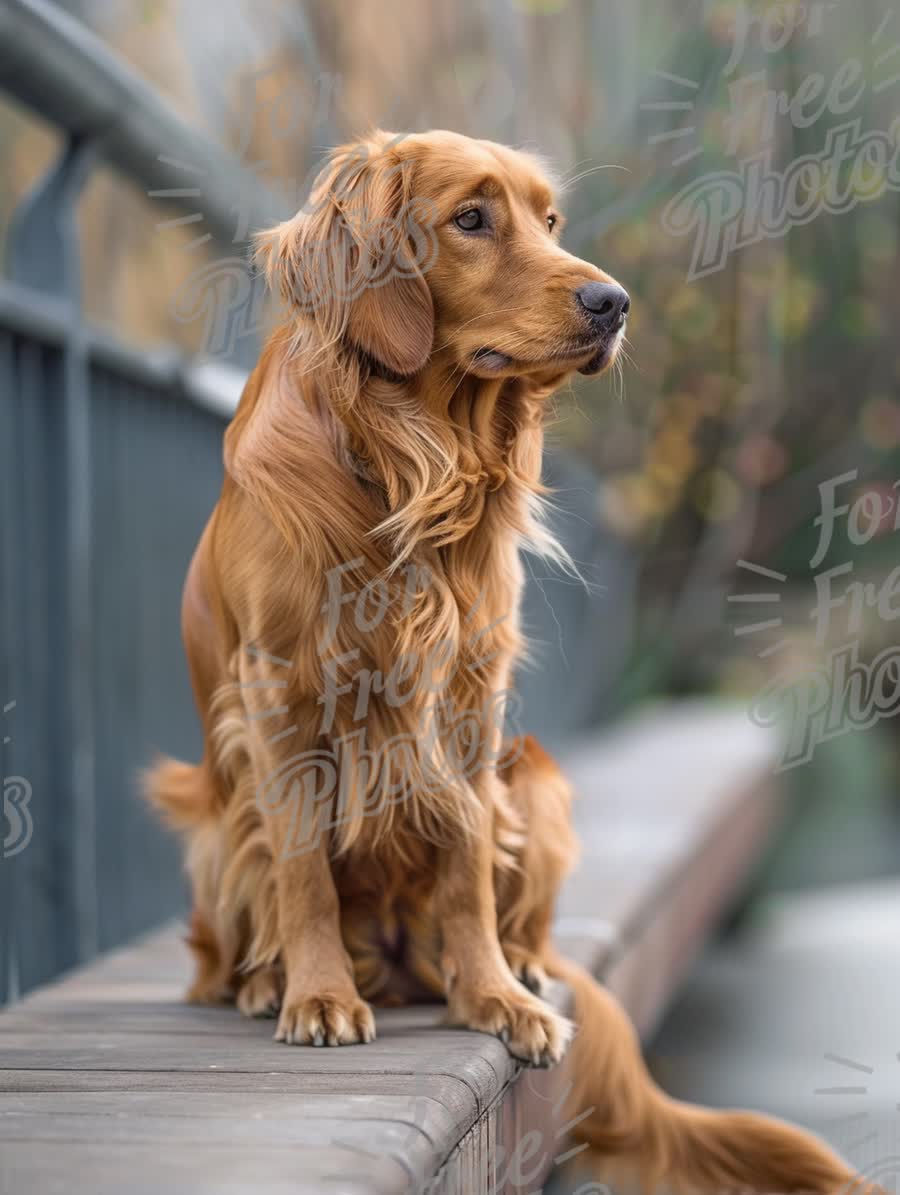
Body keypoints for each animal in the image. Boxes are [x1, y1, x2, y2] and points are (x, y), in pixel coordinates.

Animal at [147, 126, 855, 1190]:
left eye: (550, 219)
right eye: (471, 218)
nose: (613, 303)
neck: (410, 461)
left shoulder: (472, 696)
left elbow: (467, 858)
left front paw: (493, 994)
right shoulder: (279, 692)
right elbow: (304, 867)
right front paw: (316, 993)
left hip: (539, 777)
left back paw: (517, 966)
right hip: (212, 820)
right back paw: (267, 978)